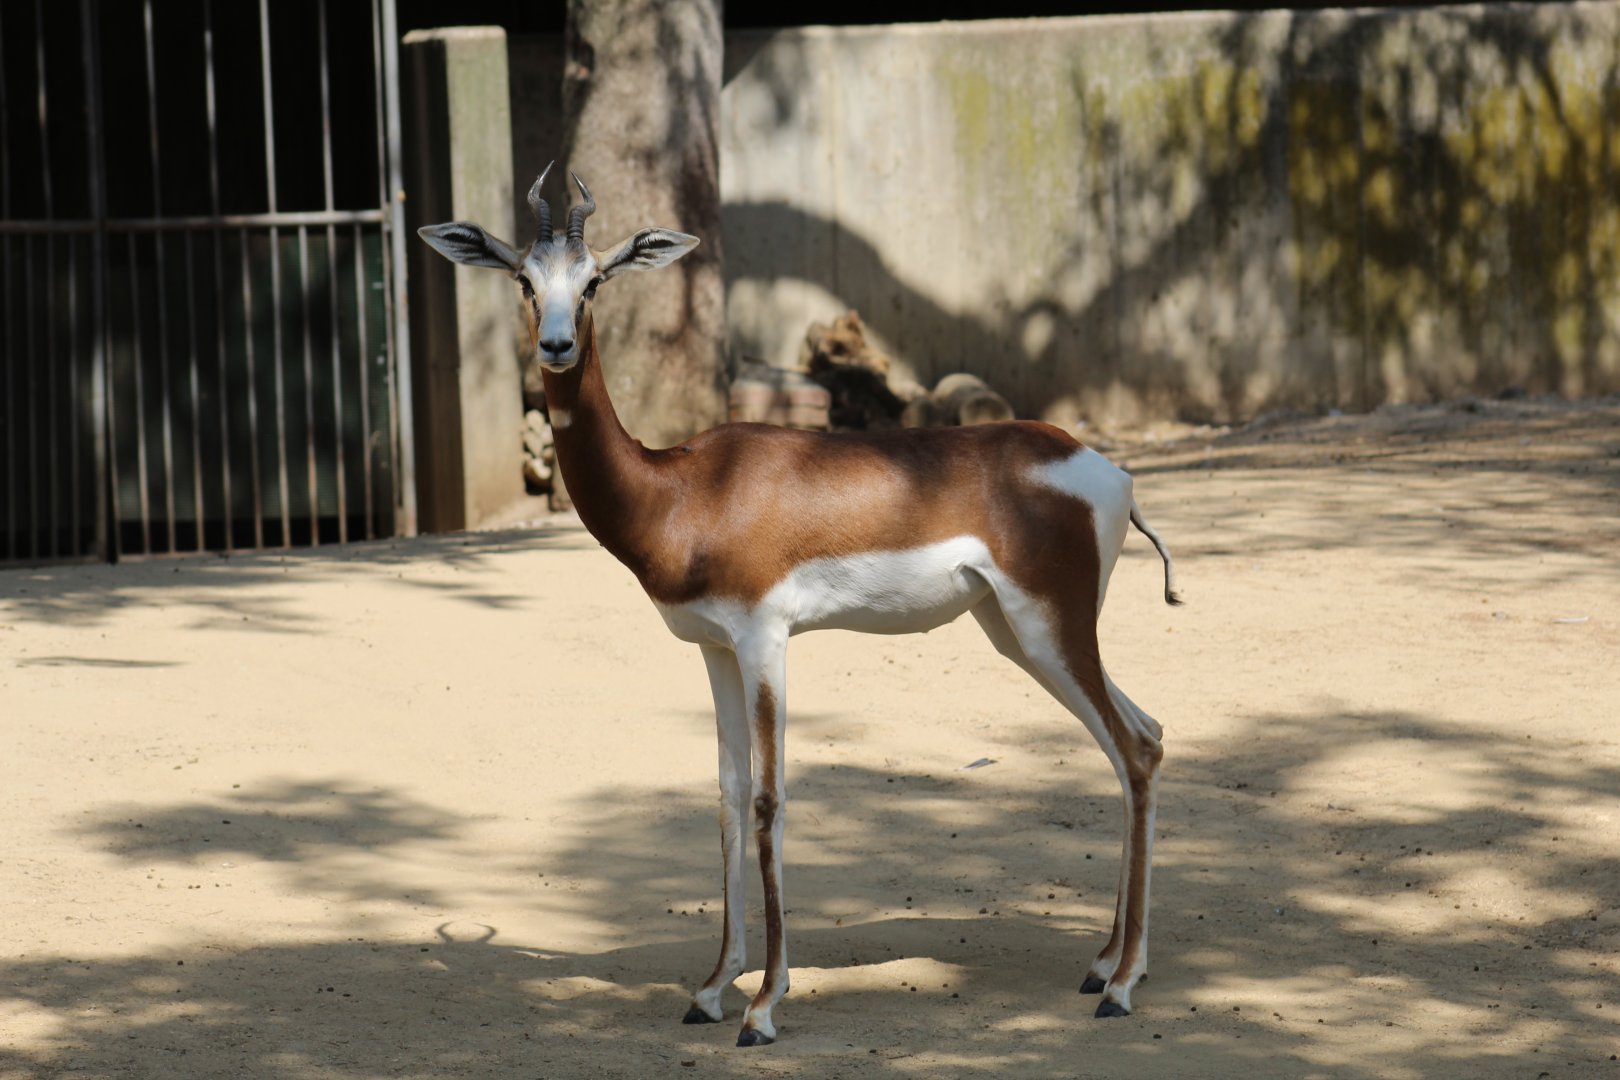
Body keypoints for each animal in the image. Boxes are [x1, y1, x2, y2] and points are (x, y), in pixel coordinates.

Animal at [418, 166, 1181, 1047]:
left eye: (595, 280)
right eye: (523, 278)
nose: (555, 346)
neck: (683, 491)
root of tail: (1110, 474)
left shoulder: (765, 640)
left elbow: (767, 800)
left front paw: (762, 1006)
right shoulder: (711, 647)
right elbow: (722, 795)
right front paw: (711, 988)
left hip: (1049, 627)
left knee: (1135, 748)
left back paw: (1122, 985)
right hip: (1017, 633)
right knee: (1142, 738)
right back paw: (1103, 964)